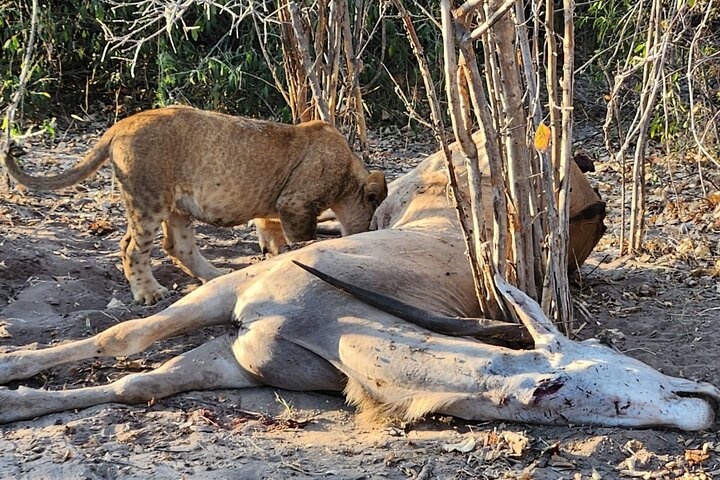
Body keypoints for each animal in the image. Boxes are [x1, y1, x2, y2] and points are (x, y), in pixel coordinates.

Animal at [4, 105, 388, 304]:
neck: (349, 173)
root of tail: (120, 125)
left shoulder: (275, 207)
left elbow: (271, 233)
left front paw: (273, 255)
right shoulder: (296, 202)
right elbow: (302, 238)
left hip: (178, 207)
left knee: (178, 246)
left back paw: (216, 276)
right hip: (149, 199)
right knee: (133, 248)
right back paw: (150, 293)